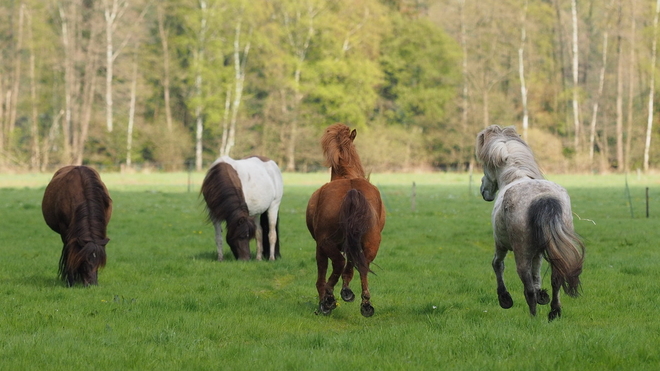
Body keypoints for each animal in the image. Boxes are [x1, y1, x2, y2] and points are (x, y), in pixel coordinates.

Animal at [306, 124, 386, 316]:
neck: (346, 174)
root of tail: (352, 191)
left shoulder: (320, 246)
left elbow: (323, 272)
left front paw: (326, 299)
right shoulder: (352, 244)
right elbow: (351, 267)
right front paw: (347, 290)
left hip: (326, 242)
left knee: (338, 264)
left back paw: (328, 299)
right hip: (371, 242)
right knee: (362, 265)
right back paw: (365, 304)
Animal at [474, 125, 584, 322]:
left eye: (485, 166)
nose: (483, 191)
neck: (515, 177)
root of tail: (543, 198)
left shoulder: (500, 244)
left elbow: (497, 265)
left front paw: (505, 298)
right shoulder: (538, 252)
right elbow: (537, 273)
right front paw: (543, 295)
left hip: (521, 252)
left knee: (528, 288)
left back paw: (533, 318)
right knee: (556, 279)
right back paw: (554, 312)